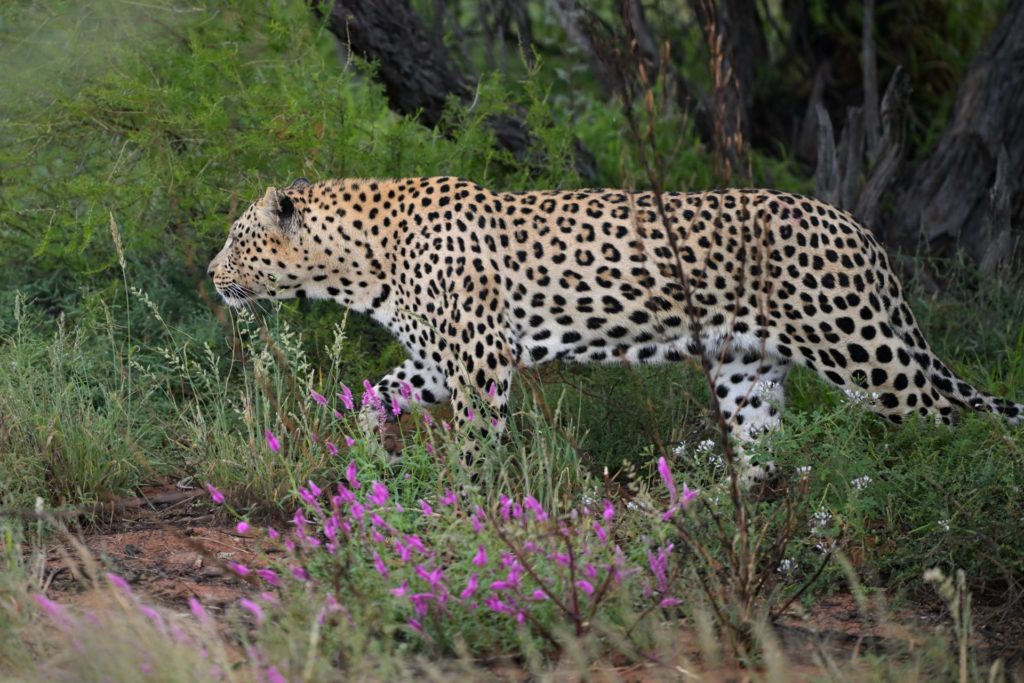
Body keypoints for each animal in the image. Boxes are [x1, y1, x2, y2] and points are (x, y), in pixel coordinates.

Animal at [208, 176, 1023, 477]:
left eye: (238, 239)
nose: (212, 276)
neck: (359, 264)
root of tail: (856, 225)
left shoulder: (480, 362)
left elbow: (474, 446)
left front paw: (462, 506)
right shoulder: (442, 360)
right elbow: (377, 395)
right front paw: (370, 454)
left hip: (866, 353)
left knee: (957, 419)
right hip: (747, 369)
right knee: (763, 450)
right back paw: (706, 511)